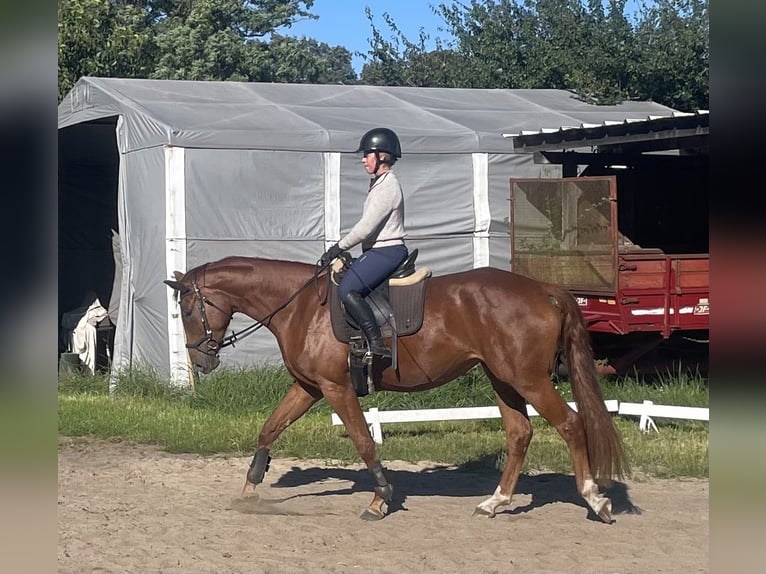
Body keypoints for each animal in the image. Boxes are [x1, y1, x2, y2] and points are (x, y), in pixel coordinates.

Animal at [164, 255, 629, 522]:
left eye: (186, 309)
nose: (201, 362)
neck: (301, 306)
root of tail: (542, 289)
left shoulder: (335, 388)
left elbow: (363, 441)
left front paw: (380, 499)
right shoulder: (308, 387)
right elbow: (269, 428)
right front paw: (250, 487)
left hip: (528, 379)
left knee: (570, 425)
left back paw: (595, 500)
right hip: (504, 378)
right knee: (519, 433)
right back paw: (494, 502)